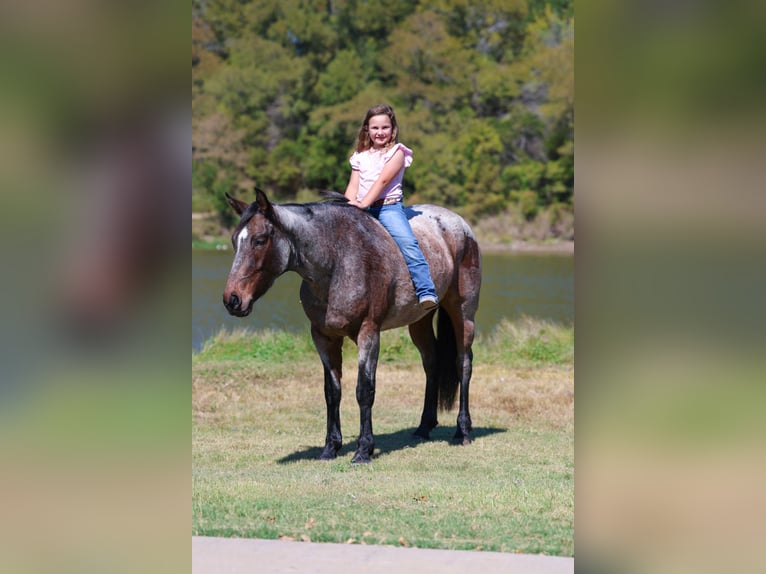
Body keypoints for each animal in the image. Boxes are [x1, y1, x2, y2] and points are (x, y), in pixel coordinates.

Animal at [223, 188, 481, 464]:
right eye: (234, 241)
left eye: (259, 240)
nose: (232, 300)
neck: (338, 261)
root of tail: (461, 225)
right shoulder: (323, 337)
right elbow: (332, 392)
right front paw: (330, 448)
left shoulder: (368, 334)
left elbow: (364, 390)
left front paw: (363, 450)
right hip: (419, 320)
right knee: (431, 364)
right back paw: (423, 427)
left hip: (463, 313)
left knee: (463, 363)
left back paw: (462, 431)